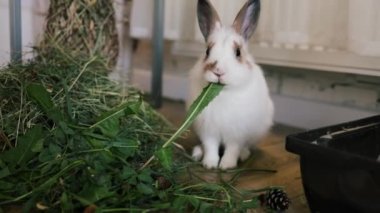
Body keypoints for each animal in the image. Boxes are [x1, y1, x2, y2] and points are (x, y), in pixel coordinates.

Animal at [186, 0, 274, 170]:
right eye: (207, 51)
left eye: (238, 52)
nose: (218, 71)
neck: (223, 92)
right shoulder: (208, 131)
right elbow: (211, 147)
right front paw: (210, 164)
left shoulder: (236, 134)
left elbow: (232, 149)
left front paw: (227, 166)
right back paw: (197, 153)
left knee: (246, 146)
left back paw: (244, 154)